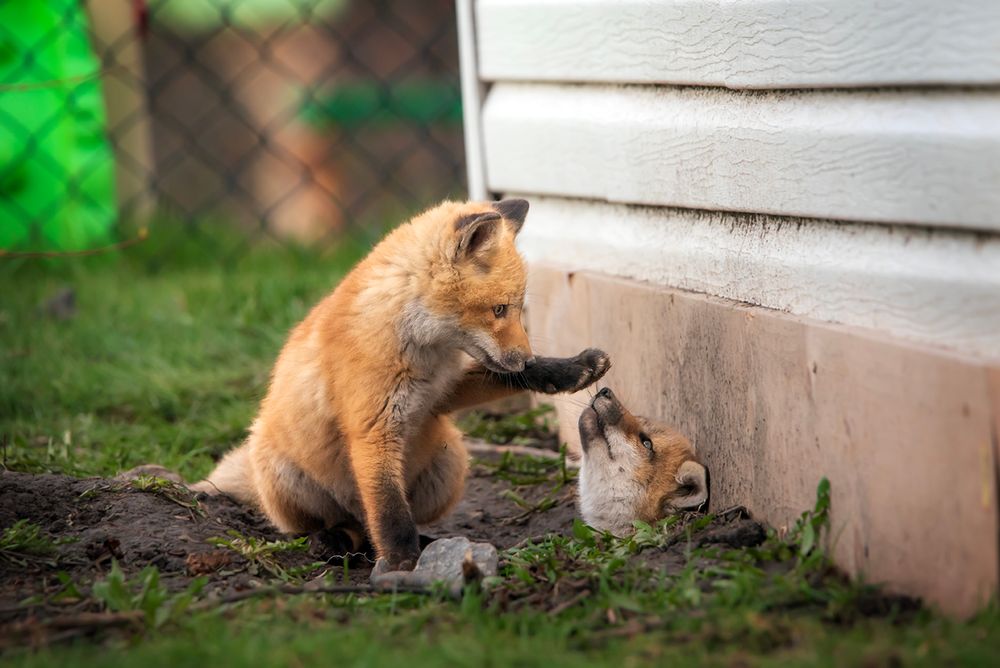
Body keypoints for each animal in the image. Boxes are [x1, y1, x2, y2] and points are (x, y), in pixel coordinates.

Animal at [190, 199, 611, 570]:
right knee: (336, 525)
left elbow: (504, 378)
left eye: (516, 309)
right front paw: (401, 561)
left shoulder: (439, 395)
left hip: (450, 460)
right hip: (283, 475)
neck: (420, 348)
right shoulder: (373, 429)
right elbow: (390, 510)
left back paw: (420, 539)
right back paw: (332, 541)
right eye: (499, 309)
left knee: (375, 523)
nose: (524, 359)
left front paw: (571, 369)